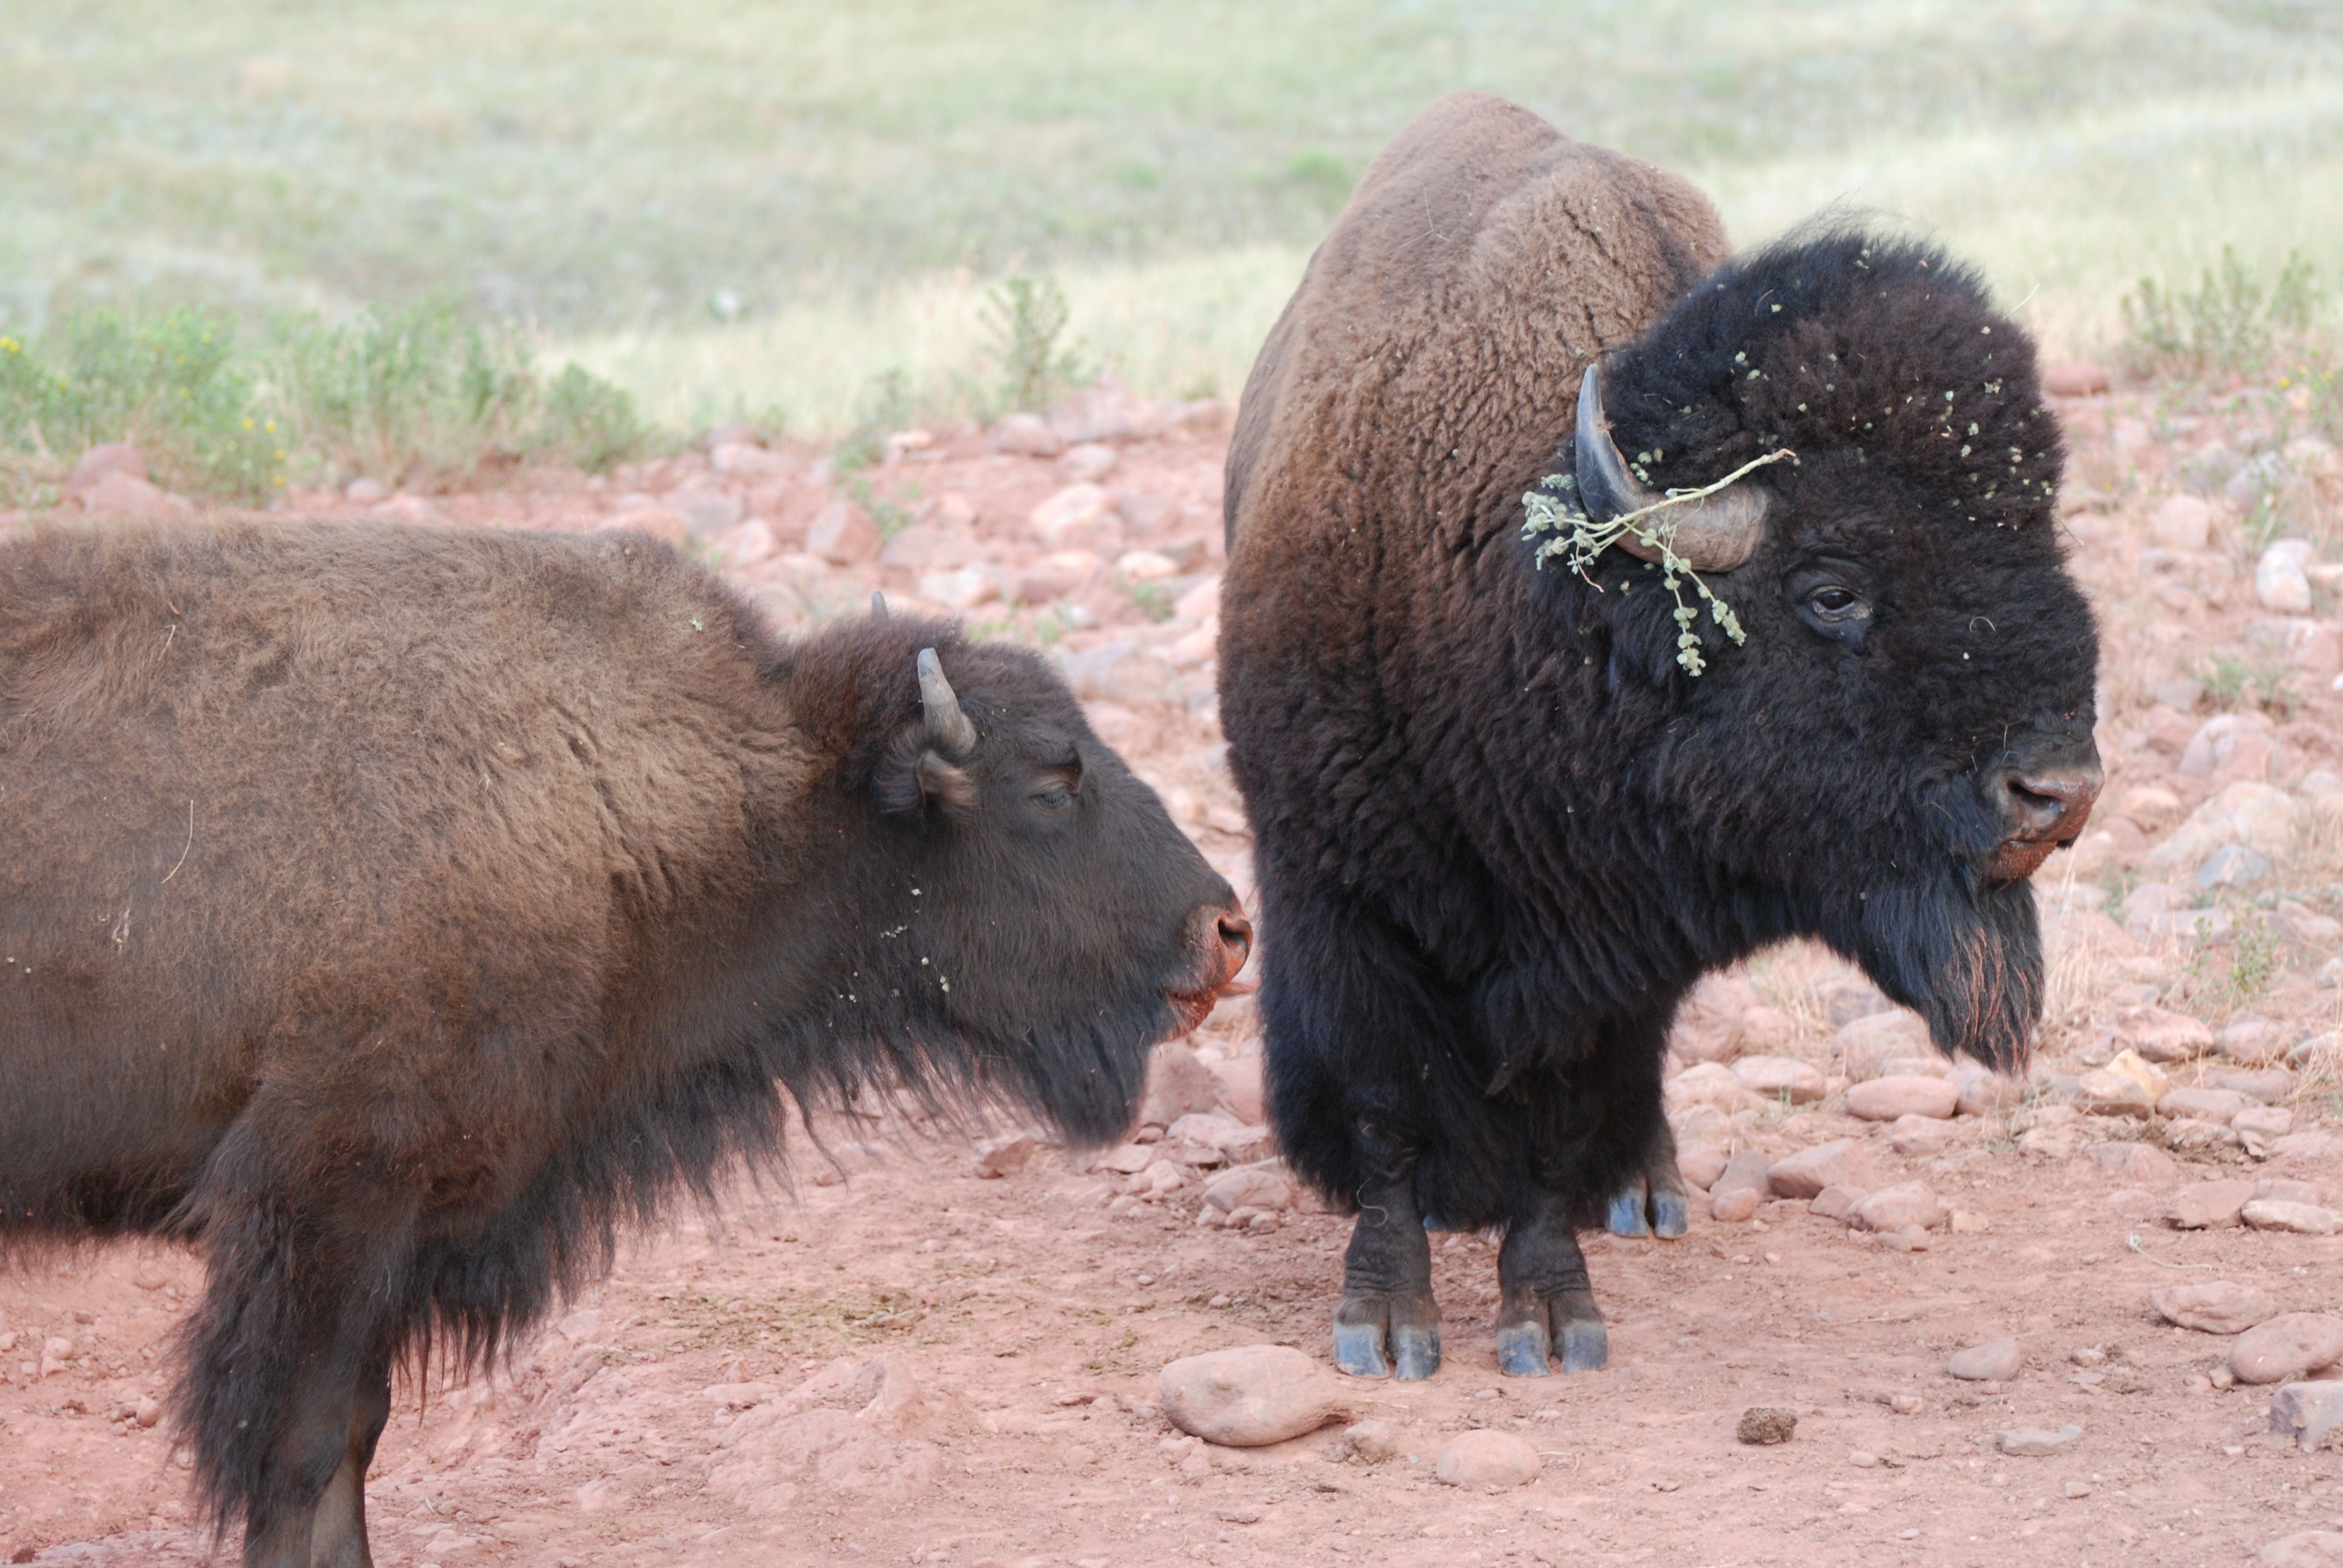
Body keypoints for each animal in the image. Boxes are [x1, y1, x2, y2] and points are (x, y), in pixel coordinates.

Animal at [0, 520, 1256, 1556]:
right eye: (1051, 781)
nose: (1228, 929)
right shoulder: (328, 1205)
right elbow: (302, 1452)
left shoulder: (398, 1237)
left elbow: (355, 1433)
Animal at [1227, 92, 2108, 1378]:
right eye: (1831, 587)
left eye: (2042, 539)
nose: (2056, 792)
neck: (1546, 594)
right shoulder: (1343, 901)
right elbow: (1386, 1107)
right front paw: (1383, 1322)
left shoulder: (1606, 956)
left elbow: (1553, 1131)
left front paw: (1552, 1320)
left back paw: (1644, 1189)